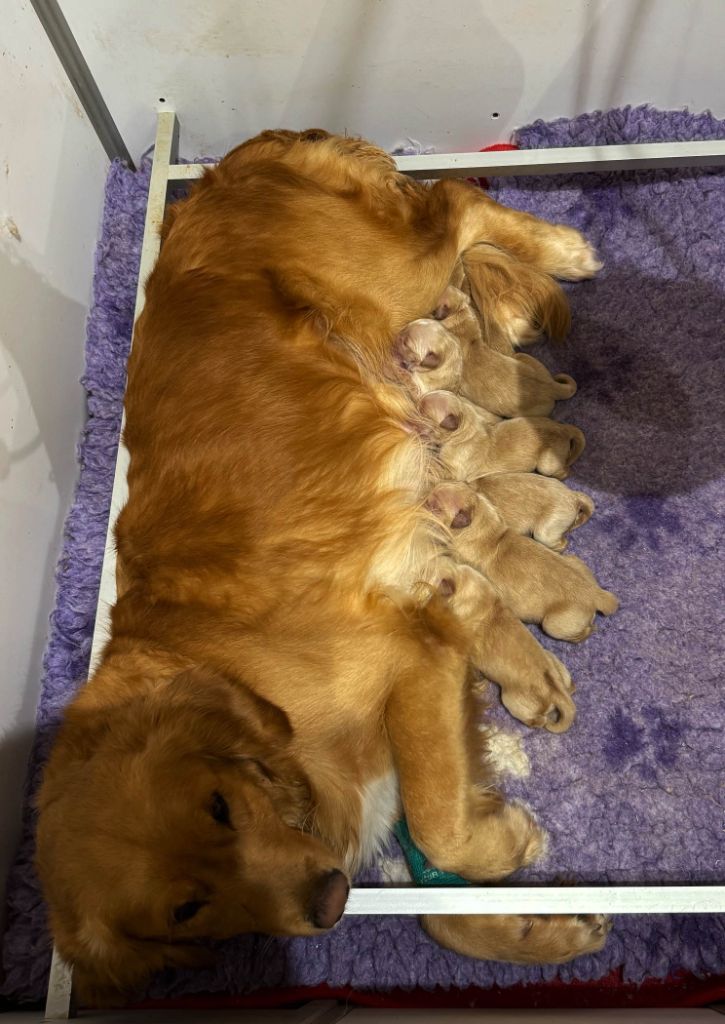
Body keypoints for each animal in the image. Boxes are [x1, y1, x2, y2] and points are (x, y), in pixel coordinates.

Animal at [393, 315, 573, 419]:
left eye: (406, 342)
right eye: (404, 330)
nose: (396, 335)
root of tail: (551, 386)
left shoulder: (421, 390)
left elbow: (406, 376)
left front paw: (395, 363)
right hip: (525, 358)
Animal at [419, 391, 581, 483]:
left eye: (422, 411)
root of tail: (563, 429)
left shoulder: (452, 472)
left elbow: (435, 465)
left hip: (546, 465)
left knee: (566, 470)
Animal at [428, 479, 618, 638]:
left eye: (434, 506)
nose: (423, 499)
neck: (488, 531)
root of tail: (597, 595)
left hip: (553, 624)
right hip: (576, 561)